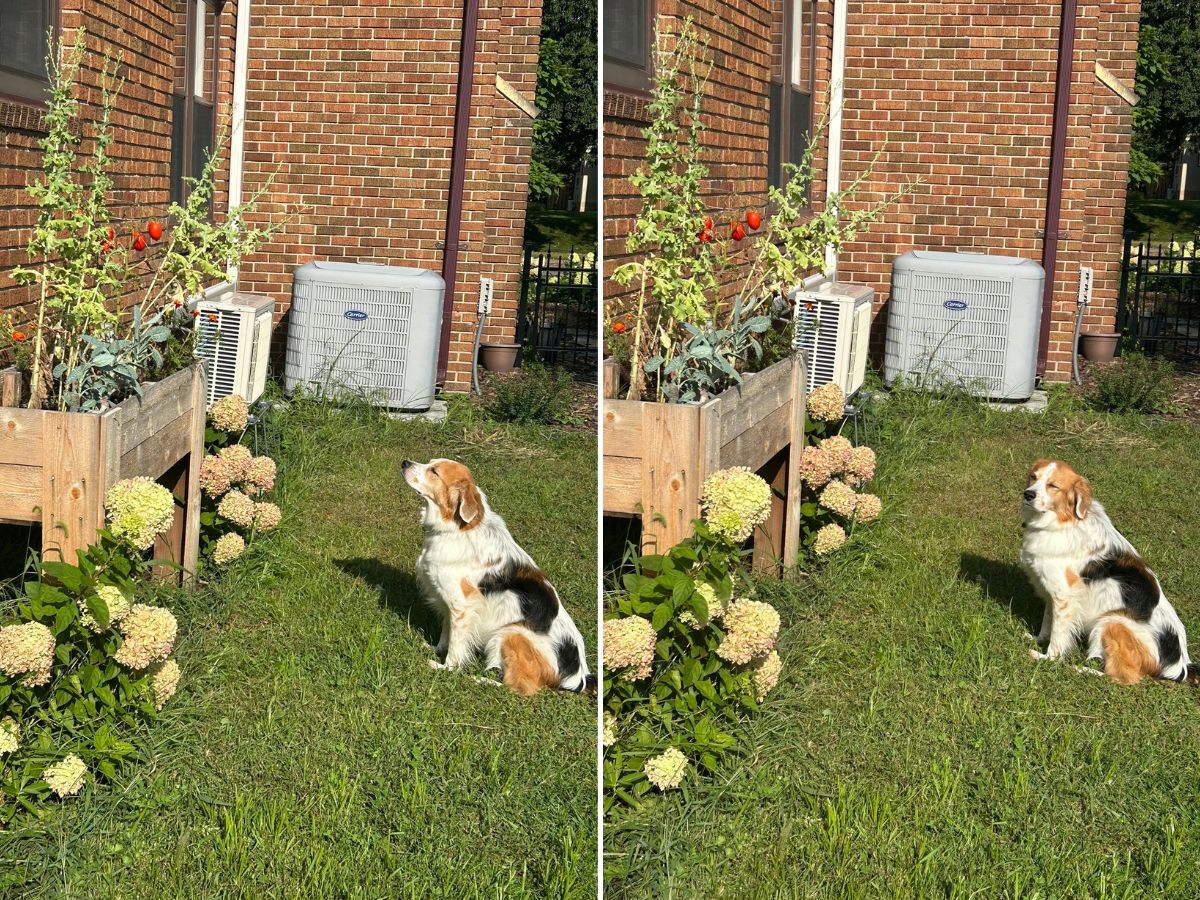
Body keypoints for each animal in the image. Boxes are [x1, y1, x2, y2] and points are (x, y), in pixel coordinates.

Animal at [400, 458, 592, 696]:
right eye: (430, 463)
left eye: (434, 471)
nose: (404, 462)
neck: (457, 529)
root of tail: (578, 678)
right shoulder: (448, 603)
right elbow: (446, 634)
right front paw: (436, 648)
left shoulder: (462, 607)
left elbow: (455, 646)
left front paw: (445, 668)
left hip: (510, 632)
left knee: (519, 688)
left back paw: (478, 680)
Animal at [1012, 460, 1200, 686]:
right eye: (1033, 477)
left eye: (1053, 486)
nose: (1028, 494)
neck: (1064, 522)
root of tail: (1180, 667)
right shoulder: (1052, 593)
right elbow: (1048, 622)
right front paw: (1038, 639)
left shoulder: (1064, 596)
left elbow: (1058, 635)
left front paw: (1047, 658)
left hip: (1112, 621)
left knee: (1122, 677)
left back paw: (1080, 670)